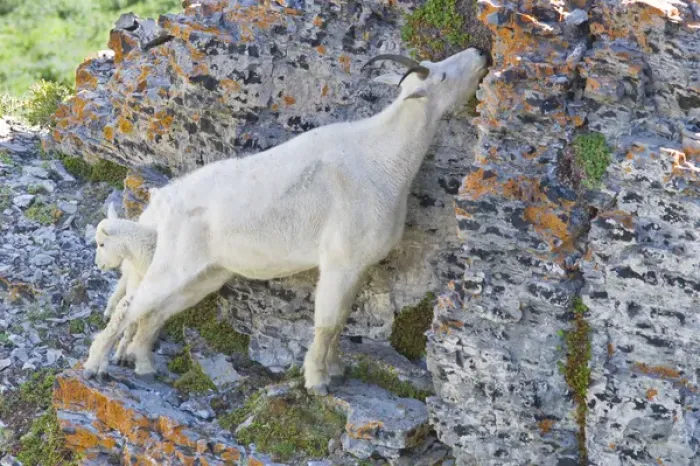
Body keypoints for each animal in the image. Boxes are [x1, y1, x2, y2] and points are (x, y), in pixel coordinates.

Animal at [83, 48, 490, 394]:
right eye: (441, 75)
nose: (482, 54)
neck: (384, 158)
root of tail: (162, 205)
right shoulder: (340, 261)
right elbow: (327, 323)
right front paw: (317, 382)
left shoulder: (356, 267)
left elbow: (342, 321)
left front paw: (335, 371)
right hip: (174, 263)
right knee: (129, 305)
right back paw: (95, 366)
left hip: (206, 273)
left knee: (156, 312)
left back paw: (144, 366)